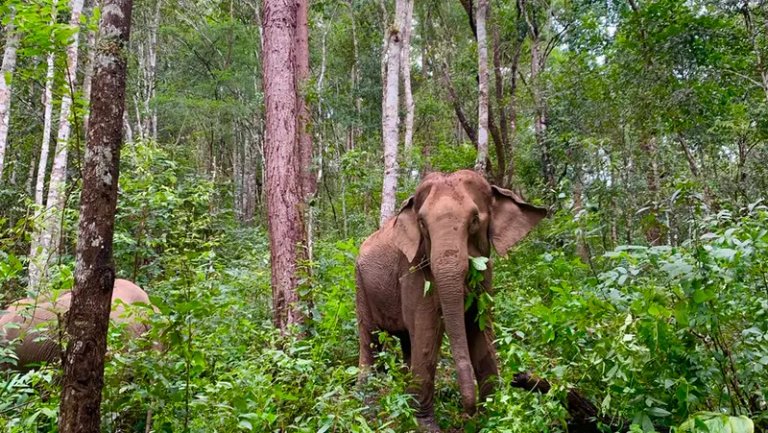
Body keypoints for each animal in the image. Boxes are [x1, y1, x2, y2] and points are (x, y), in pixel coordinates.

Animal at [355, 170, 547, 431]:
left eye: (475, 220)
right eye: (422, 224)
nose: (470, 411)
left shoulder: (486, 275)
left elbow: (481, 328)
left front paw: (493, 417)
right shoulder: (413, 269)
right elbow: (427, 331)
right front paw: (425, 427)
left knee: (406, 341)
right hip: (360, 286)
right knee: (370, 340)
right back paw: (367, 406)